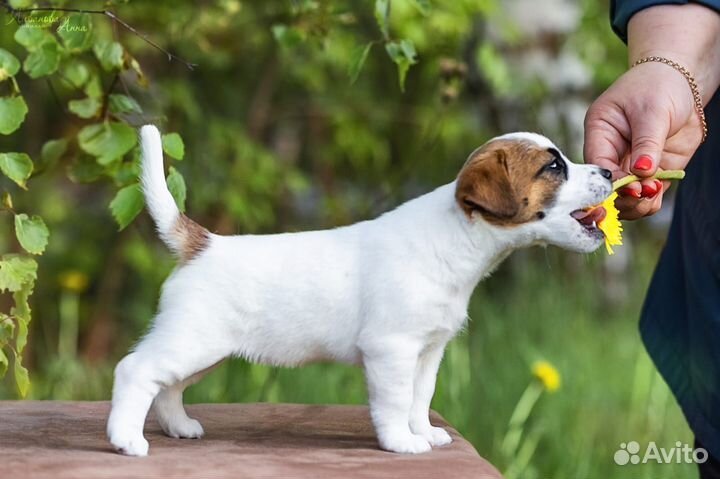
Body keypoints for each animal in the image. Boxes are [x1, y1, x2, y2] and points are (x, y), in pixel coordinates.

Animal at [107, 126, 612, 458]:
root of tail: (202, 243)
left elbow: (420, 398)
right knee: (136, 371)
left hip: (204, 350)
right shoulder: (391, 349)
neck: (456, 236)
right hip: (192, 340)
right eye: (553, 166)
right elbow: (394, 402)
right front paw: (402, 442)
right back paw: (127, 439)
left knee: (168, 387)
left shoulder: (428, 352)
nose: (608, 170)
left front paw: (423, 432)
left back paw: (179, 427)